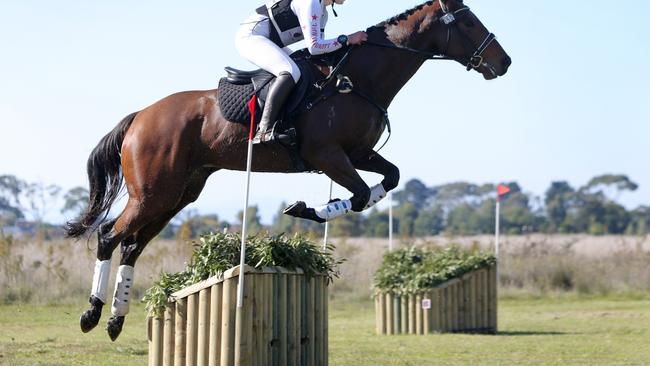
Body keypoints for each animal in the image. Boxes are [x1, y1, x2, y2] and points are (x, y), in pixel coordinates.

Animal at [67, 0, 512, 342]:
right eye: (469, 22)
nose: (504, 62)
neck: (357, 78)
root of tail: (141, 115)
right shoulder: (328, 154)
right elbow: (361, 195)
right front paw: (308, 210)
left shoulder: (359, 153)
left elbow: (388, 180)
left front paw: (310, 210)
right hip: (153, 192)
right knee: (109, 236)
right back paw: (91, 314)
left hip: (177, 195)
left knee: (131, 245)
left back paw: (115, 320)